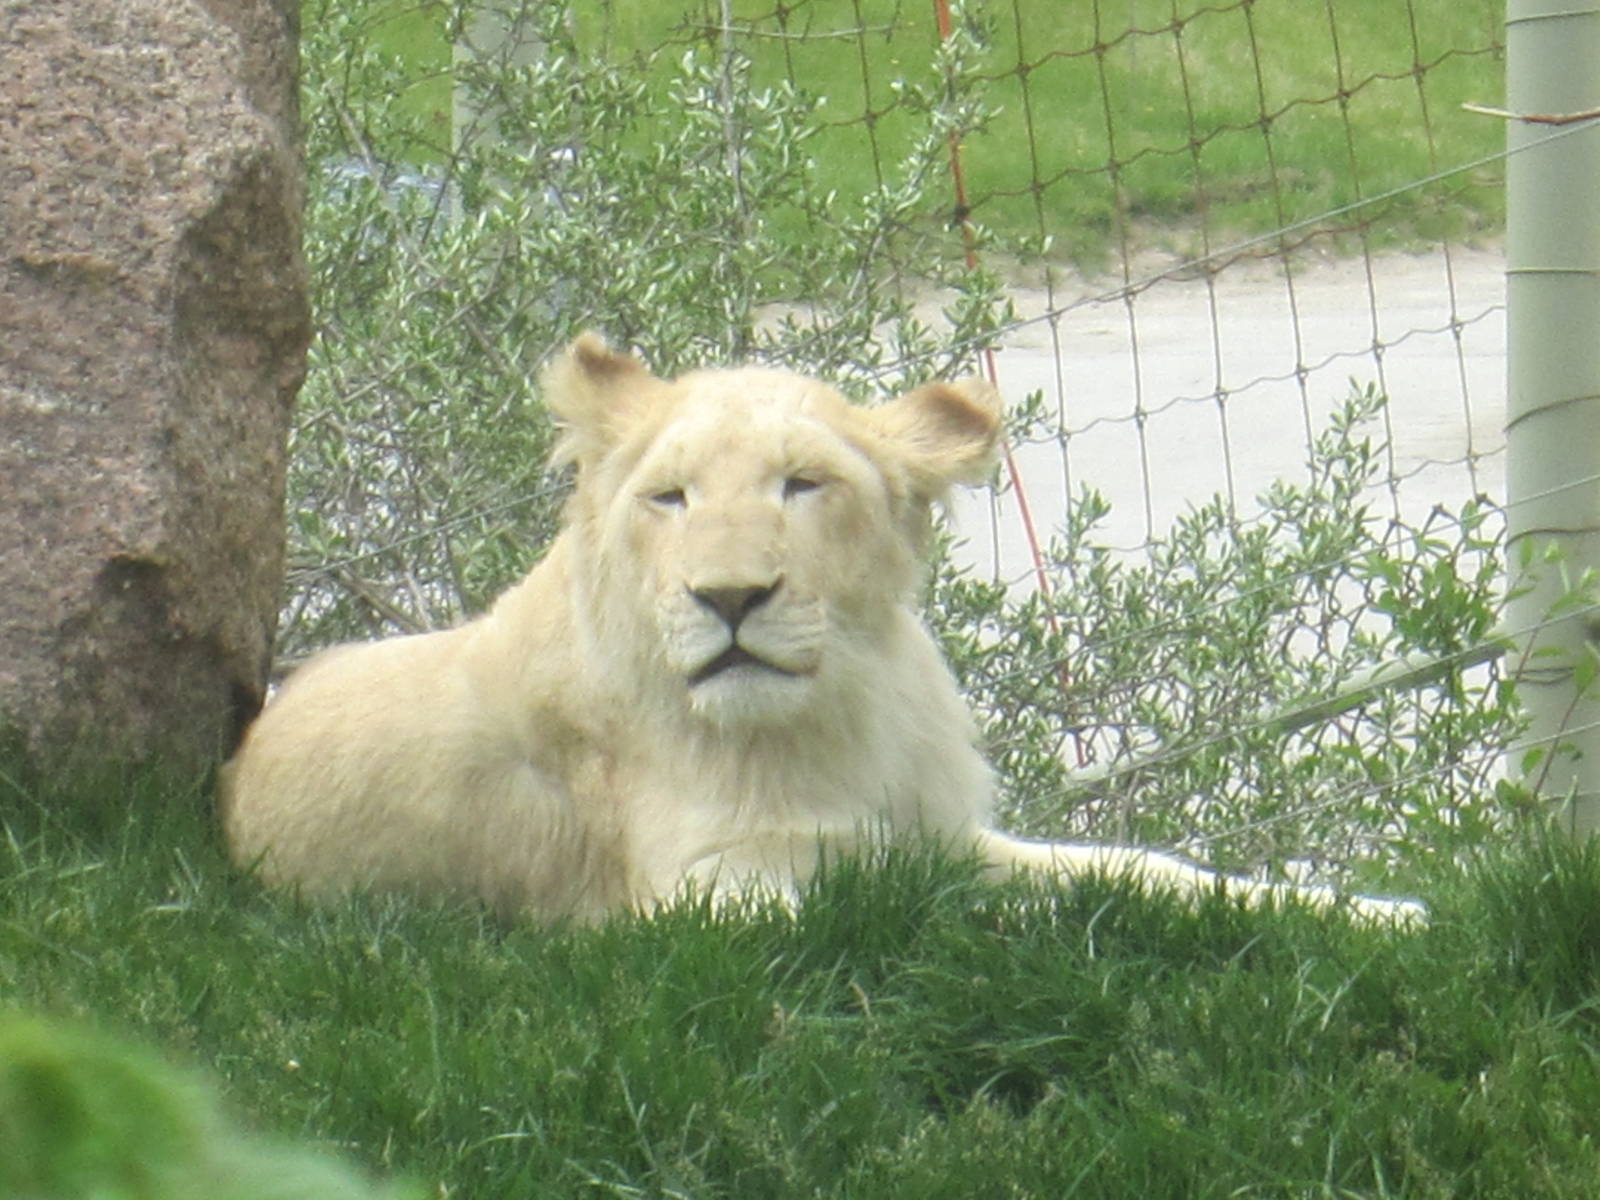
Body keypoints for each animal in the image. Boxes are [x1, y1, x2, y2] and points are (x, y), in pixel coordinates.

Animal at [220, 335, 1420, 924]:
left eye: (802, 484)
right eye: (670, 499)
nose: (731, 598)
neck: (830, 716)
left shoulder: (941, 831)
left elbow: (1146, 874)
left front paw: (1383, 912)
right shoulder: (700, 902)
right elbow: (922, 922)